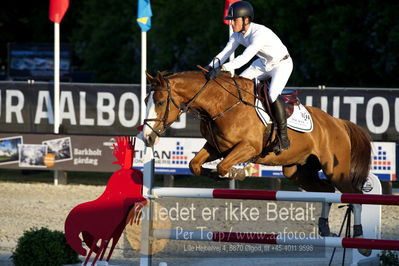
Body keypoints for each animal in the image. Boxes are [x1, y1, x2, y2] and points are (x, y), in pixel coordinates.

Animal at [141, 70, 372, 254]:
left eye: (160, 102)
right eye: (145, 102)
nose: (147, 138)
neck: (220, 103)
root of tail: (338, 122)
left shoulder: (248, 147)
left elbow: (223, 166)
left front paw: (239, 172)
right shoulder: (216, 147)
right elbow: (195, 165)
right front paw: (216, 174)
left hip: (336, 170)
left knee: (354, 196)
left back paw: (361, 241)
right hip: (299, 172)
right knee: (327, 191)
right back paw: (324, 228)